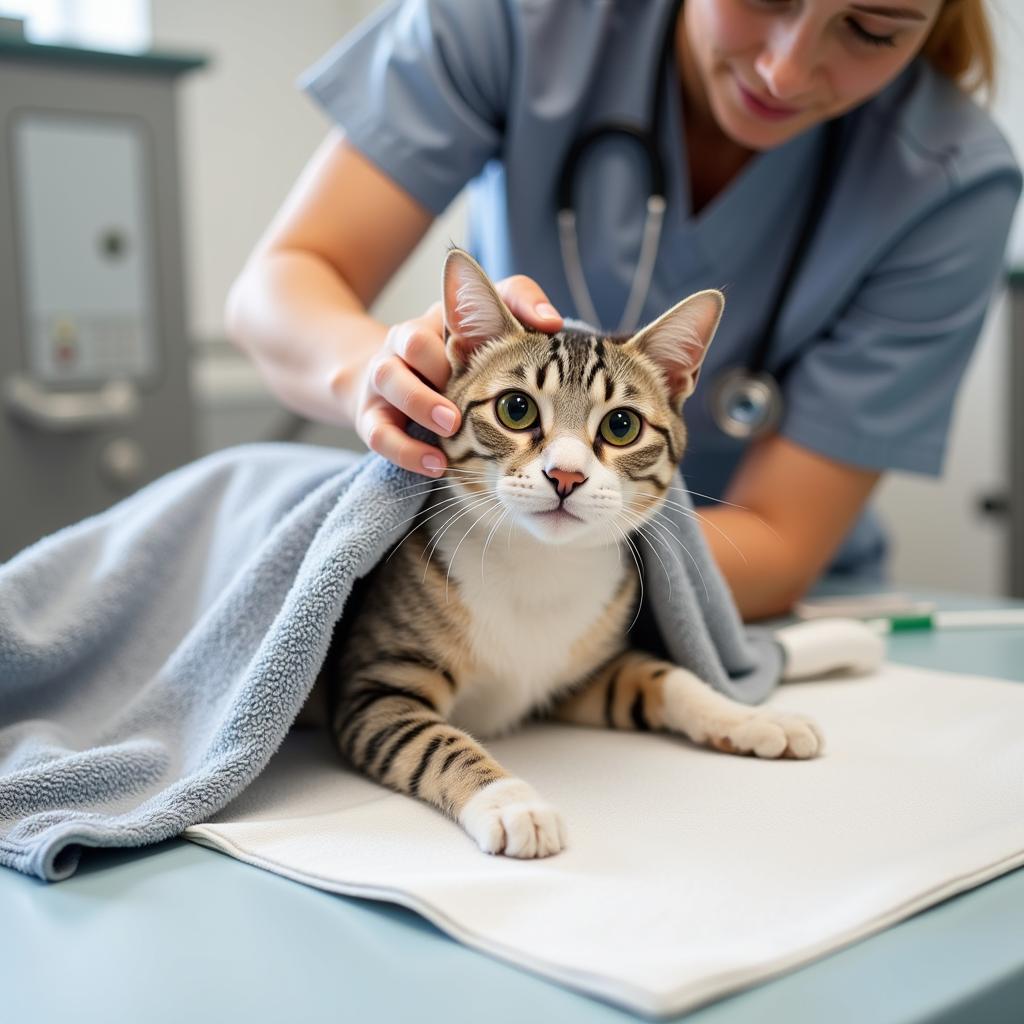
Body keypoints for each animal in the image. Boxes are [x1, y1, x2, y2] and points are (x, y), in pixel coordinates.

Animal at [307, 247, 819, 856]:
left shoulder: (580, 675)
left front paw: (751, 717)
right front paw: (512, 802)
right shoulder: (376, 687)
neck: (538, 567)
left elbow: (666, 677)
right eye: (516, 409)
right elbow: (437, 743)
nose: (566, 475)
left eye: (621, 424)